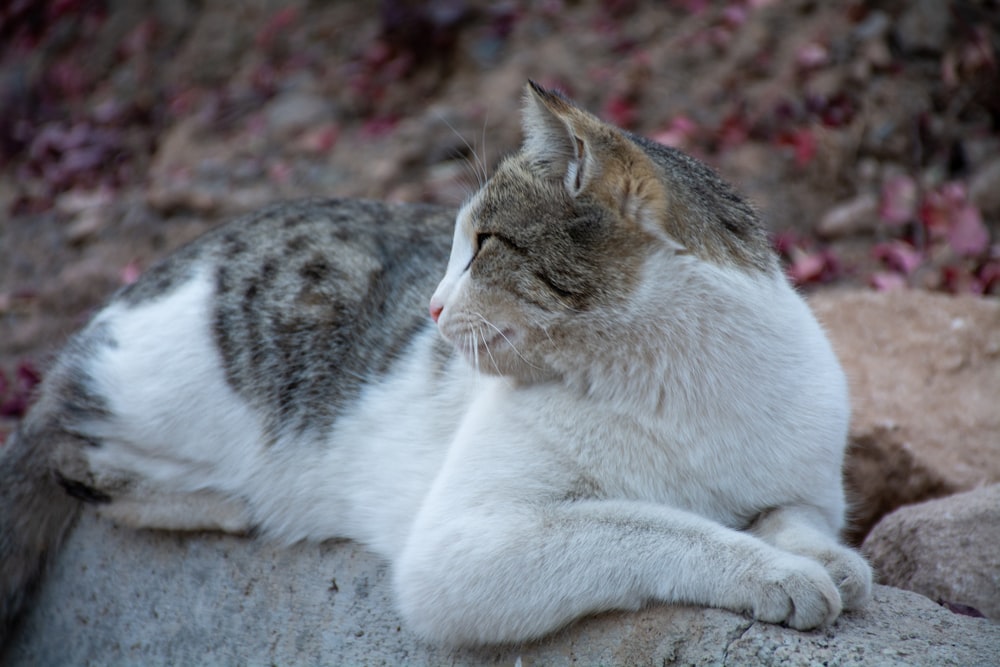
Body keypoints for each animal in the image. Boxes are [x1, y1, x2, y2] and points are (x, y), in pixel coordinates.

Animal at [0, 81, 872, 648]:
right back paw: (220, 504)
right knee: (68, 450)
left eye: (483, 244)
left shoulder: (811, 484)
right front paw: (774, 571)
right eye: (454, 244)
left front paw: (829, 559)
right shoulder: (465, 544)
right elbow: (651, 523)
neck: (675, 377)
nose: (430, 306)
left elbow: (795, 516)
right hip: (168, 396)